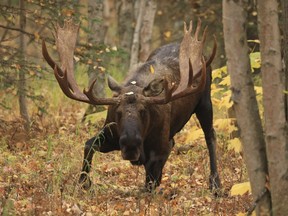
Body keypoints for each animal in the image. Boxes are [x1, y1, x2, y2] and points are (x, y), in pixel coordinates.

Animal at [41, 18, 220, 191]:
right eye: (118, 112)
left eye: (143, 111)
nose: (130, 145)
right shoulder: (110, 135)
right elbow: (88, 145)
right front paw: (84, 183)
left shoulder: (160, 149)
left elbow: (150, 181)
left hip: (205, 102)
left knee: (210, 136)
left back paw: (215, 183)